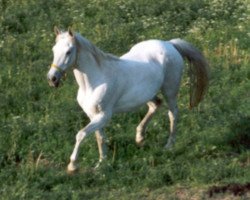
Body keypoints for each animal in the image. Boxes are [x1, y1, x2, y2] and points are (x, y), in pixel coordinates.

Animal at [47, 27, 209, 173]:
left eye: (68, 51)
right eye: (54, 50)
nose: (52, 78)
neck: (95, 82)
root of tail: (170, 44)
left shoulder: (104, 116)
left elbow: (81, 134)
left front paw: (73, 166)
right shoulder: (93, 115)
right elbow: (100, 138)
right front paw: (102, 163)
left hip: (170, 91)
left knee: (173, 114)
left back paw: (169, 146)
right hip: (147, 95)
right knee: (155, 105)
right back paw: (140, 138)